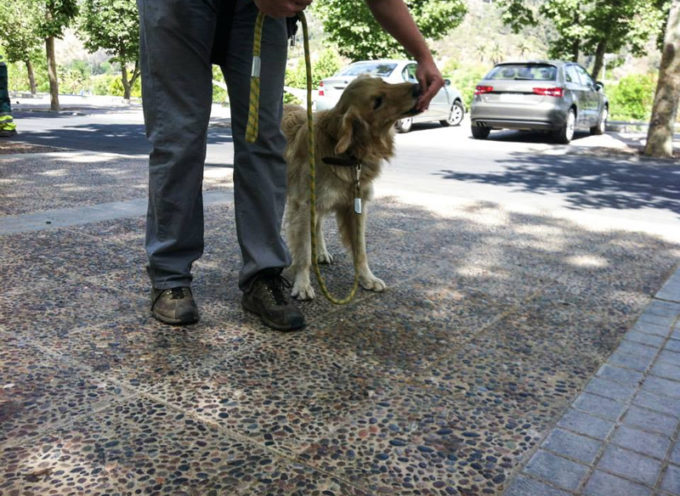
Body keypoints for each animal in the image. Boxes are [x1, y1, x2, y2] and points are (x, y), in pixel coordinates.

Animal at [280, 73, 420, 298]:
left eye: (384, 81)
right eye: (377, 101)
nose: (417, 88)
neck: (349, 154)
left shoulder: (355, 206)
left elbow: (360, 250)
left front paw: (367, 278)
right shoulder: (303, 206)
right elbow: (303, 251)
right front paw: (302, 284)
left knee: (318, 226)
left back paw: (321, 251)